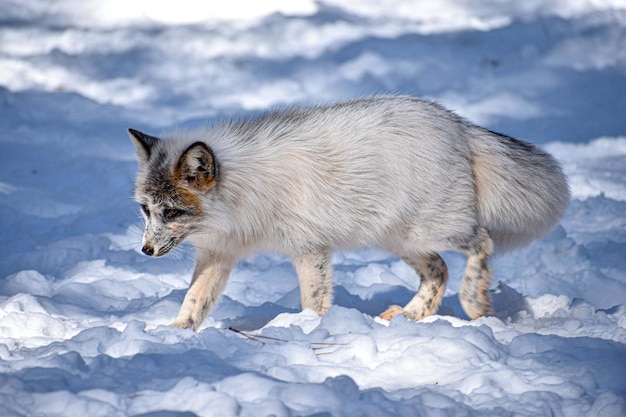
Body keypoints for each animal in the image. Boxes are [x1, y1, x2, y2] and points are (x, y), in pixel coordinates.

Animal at [129, 95, 568, 328]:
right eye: (146, 210)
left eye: (172, 212)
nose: (145, 251)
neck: (239, 195)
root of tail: (456, 123)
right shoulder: (219, 253)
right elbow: (194, 302)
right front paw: (176, 334)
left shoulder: (309, 249)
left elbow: (314, 300)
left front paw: (306, 332)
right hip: (399, 239)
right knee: (439, 270)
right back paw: (412, 315)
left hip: (432, 230)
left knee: (481, 243)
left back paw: (474, 302)